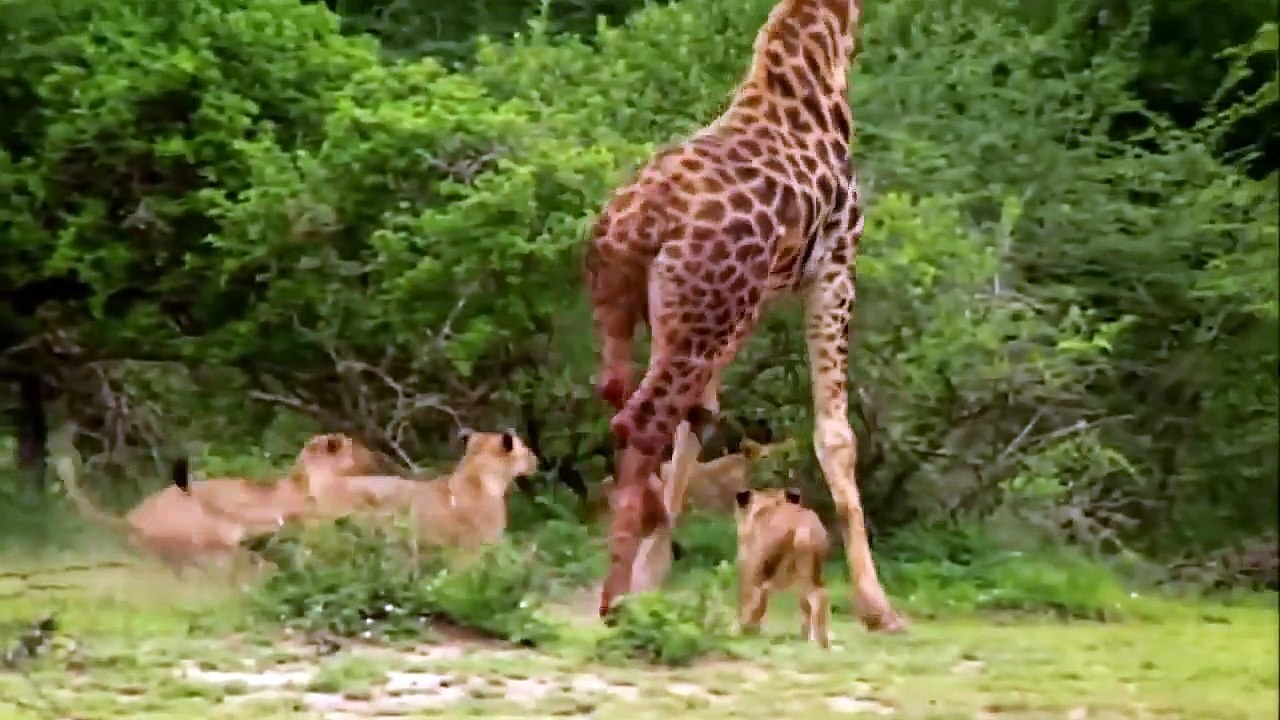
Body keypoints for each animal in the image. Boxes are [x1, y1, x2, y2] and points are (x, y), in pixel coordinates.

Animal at [734, 487, 831, 648]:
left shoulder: (751, 569)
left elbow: (750, 602)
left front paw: (745, 632)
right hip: (811, 572)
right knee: (819, 597)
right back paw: (815, 640)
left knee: (816, 598)